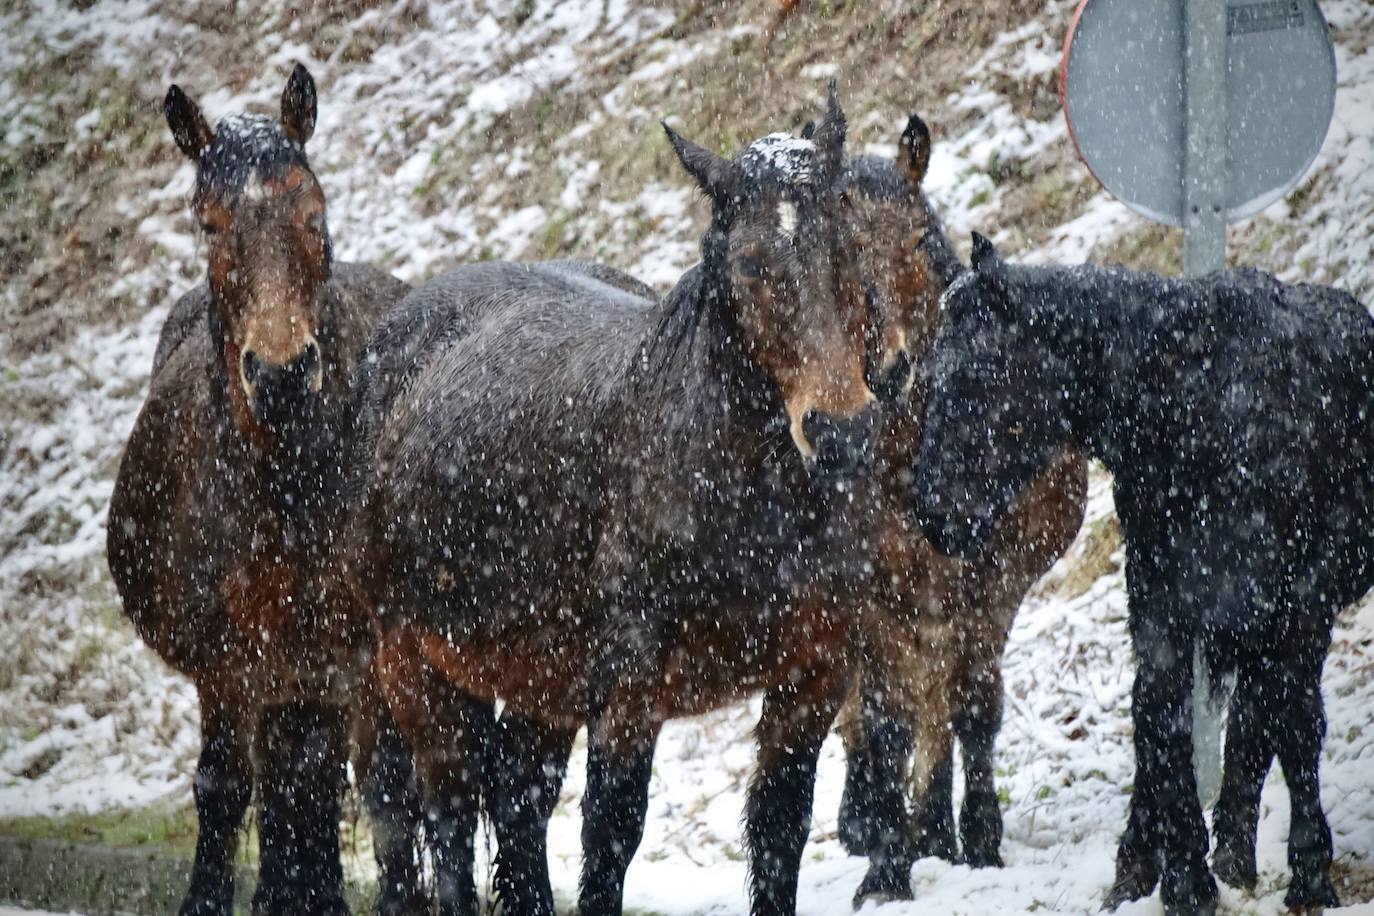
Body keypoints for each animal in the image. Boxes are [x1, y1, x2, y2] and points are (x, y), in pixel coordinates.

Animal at [104, 66, 417, 916]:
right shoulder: (228, 668)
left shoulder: (363, 664)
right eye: (209, 226)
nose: (279, 375)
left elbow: (387, 802)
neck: (286, 491)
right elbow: (223, 791)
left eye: (316, 213)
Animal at [346, 87, 879, 916]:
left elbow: (778, 832)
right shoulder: (630, 695)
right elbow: (611, 840)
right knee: (445, 814)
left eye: (850, 245)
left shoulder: (812, 679)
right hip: (411, 663)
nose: (841, 432)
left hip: (538, 676)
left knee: (518, 802)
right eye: (750, 262)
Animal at [818, 114, 1088, 900]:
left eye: (917, 238)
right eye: (840, 254)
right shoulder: (870, 593)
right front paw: (885, 866)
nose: (889, 371)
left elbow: (971, 706)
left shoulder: (991, 583)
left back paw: (934, 826)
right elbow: (884, 720)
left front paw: (975, 838)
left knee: (941, 700)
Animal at [906, 233, 1368, 911]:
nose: (933, 513)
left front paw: (1311, 874)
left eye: (975, 375)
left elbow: (1297, 725)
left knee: (1264, 719)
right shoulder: (1160, 601)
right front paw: (1181, 878)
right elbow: (1158, 721)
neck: (1204, 408)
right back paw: (1213, 857)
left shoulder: (1303, 601)